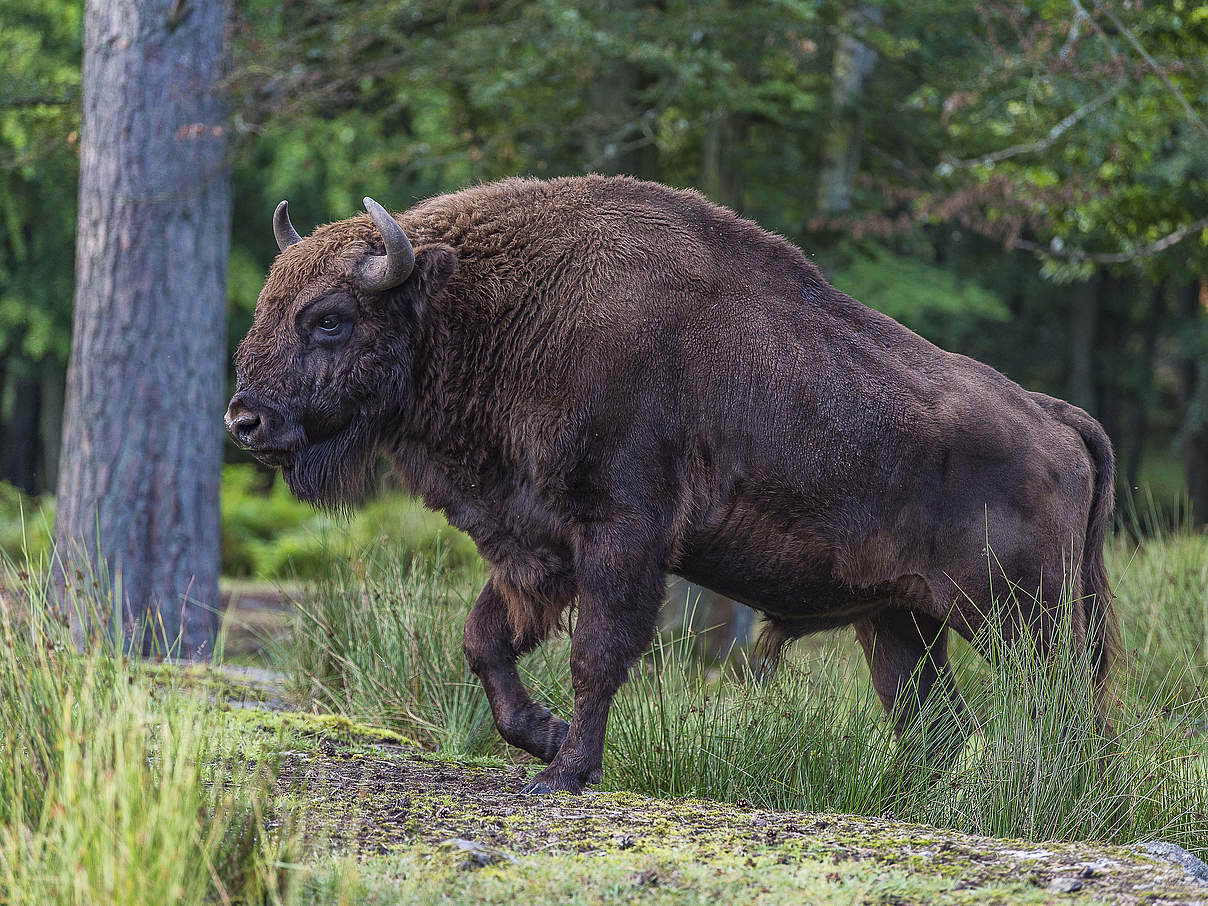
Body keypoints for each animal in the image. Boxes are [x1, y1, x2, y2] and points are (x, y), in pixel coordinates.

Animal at [228, 175, 1121, 792]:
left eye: (330, 317)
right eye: (268, 302)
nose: (245, 422)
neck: (492, 308)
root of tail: (1051, 418)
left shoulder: (621, 535)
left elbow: (597, 652)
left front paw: (566, 771)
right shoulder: (536, 545)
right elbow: (485, 639)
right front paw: (543, 738)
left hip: (1021, 618)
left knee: (1063, 710)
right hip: (900, 621)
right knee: (935, 722)